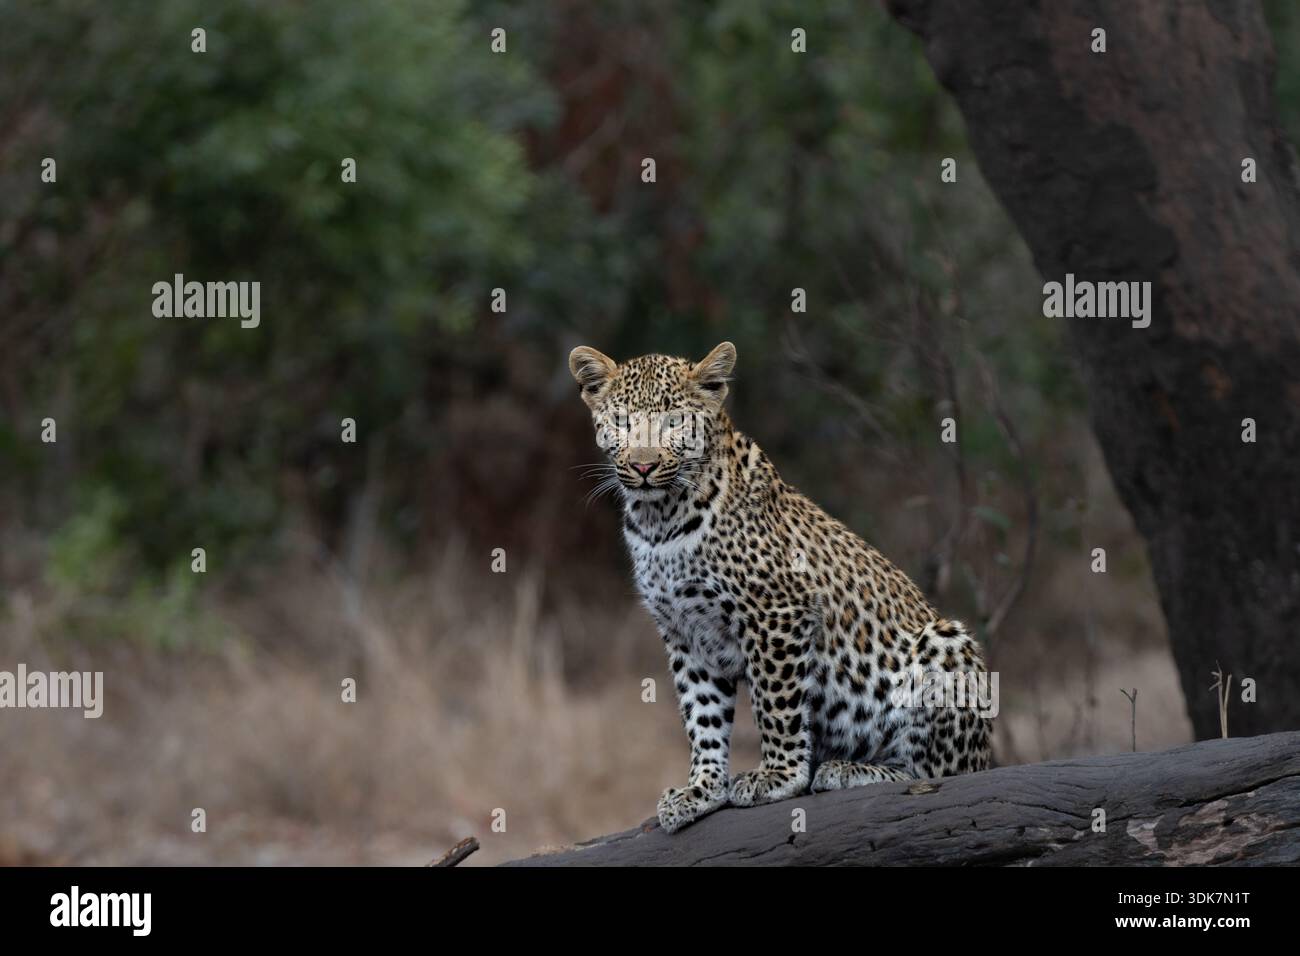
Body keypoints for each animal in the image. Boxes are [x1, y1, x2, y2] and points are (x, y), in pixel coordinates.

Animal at [569, 341, 993, 834]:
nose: (643, 464)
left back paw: (847, 769)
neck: (660, 521)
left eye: (674, 421)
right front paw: (702, 790)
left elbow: (776, 703)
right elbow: (702, 714)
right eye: (621, 421)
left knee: (936, 773)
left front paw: (779, 776)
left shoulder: (776, 611)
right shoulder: (685, 633)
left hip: (946, 643)